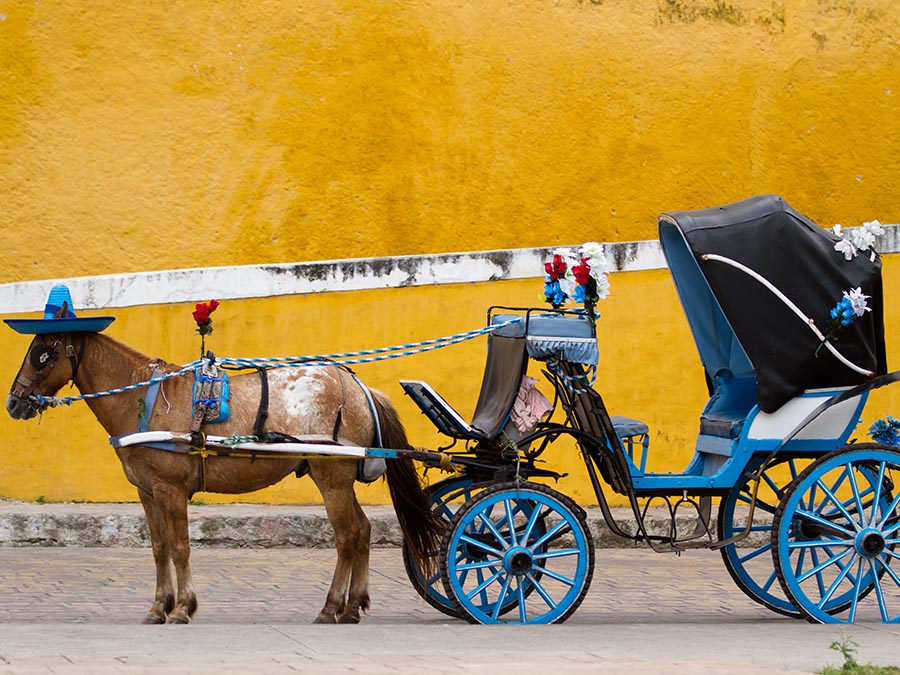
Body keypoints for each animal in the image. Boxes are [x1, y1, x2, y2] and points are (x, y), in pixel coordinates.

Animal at [6, 302, 442, 624]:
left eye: (42, 354)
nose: (13, 403)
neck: (143, 399)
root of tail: (358, 386)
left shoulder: (170, 488)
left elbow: (180, 547)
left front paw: (183, 608)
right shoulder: (147, 490)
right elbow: (159, 548)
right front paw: (158, 607)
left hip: (330, 474)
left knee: (347, 536)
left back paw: (331, 607)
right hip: (338, 474)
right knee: (363, 531)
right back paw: (353, 606)